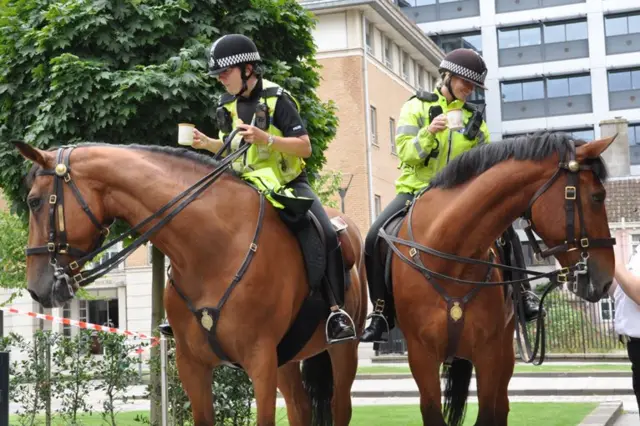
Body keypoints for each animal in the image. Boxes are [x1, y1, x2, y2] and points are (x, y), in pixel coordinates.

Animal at [13, 142, 364, 426]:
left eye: (34, 201)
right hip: (287, 359)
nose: (36, 286)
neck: (214, 248)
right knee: (300, 408)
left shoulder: (260, 360)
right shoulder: (192, 365)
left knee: (340, 408)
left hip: (342, 351)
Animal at [378, 131, 616, 424]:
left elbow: (488, 412)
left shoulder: (489, 353)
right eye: (597, 197)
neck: (450, 259)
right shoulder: (421, 357)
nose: (607, 279)